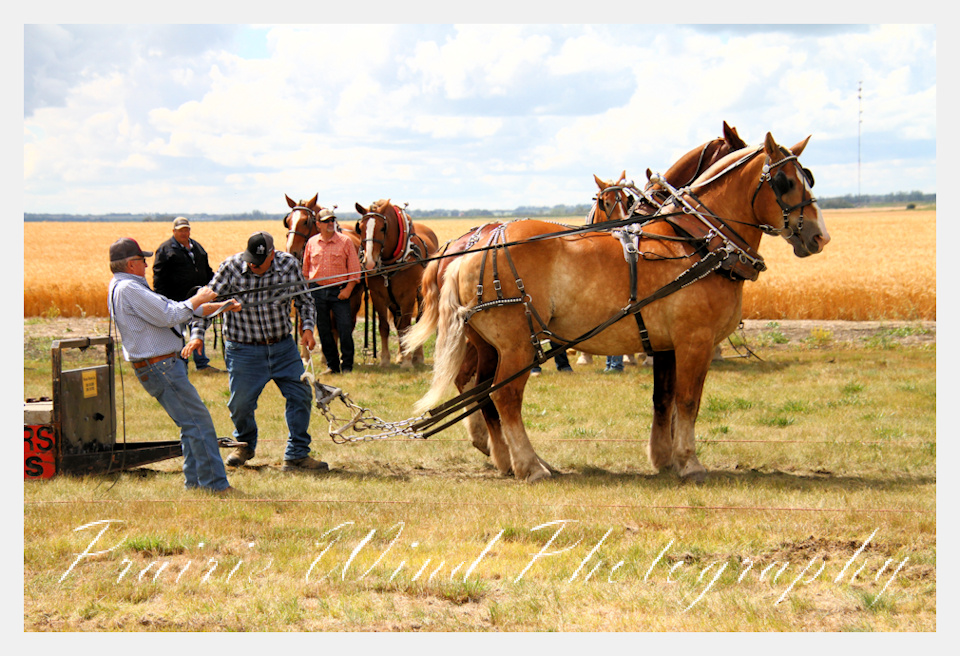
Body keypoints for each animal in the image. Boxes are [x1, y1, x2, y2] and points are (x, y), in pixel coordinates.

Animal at [355, 199, 440, 368]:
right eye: (360, 228)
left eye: (382, 228)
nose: (369, 263)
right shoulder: (378, 296)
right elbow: (384, 327)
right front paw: (385, 360)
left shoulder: (407, 296)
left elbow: (406, 326)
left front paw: (407, 362)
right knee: (397, 323)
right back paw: (401, 355)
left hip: (421, 295)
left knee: (418, 322)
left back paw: (416, 356)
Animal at [404, 132, 829, 483]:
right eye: (785, 181)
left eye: (807, 176)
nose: (819, 236)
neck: (696, 243)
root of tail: (471, 247)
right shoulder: (695, 341)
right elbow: (688, 401)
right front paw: (689, 462)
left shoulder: (666, 345)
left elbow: (665, 399)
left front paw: (664, 458)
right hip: (517, 345)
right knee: (504, 397)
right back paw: (529, 466)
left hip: (489, 344)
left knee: (481, 391)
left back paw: (513, 460)